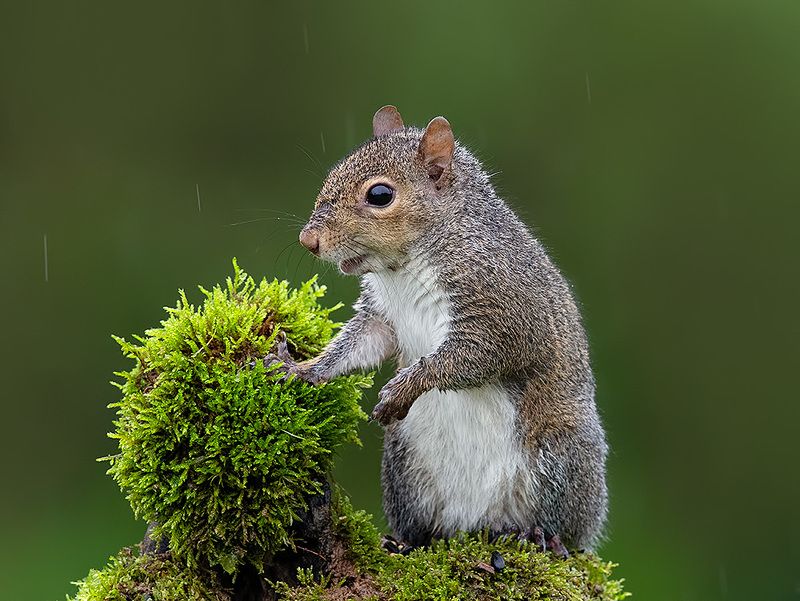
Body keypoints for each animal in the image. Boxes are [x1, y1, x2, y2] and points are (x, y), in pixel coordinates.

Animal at [269, 105, 608, 554]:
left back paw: (542, 536)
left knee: (566, 528)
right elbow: (360, 344)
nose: (309, 240)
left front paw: (404, 388)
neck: (404, 266)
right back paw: (406, 542)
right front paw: (304, 369)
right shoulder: (382, 316)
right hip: (405, 467)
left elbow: (473, 356)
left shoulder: (503, 307)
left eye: (380, 195)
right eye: (331, 175)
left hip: (560, 456)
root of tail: (476, 525)